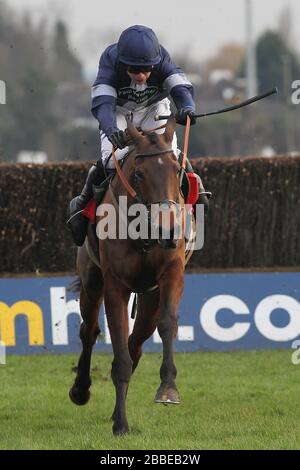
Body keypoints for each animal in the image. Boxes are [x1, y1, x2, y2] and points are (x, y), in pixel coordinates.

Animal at [69, 115, 190, 436]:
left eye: (176, 170)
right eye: (139, 173)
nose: (168, 231)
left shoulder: (171, 272)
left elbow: (168, 323)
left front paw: (168, 389)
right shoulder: (115, 285)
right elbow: (118, 347)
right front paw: (121, 424)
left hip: (149, 298)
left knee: (137, 341)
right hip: (91, 280)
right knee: (89, 330)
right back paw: (81, 389)